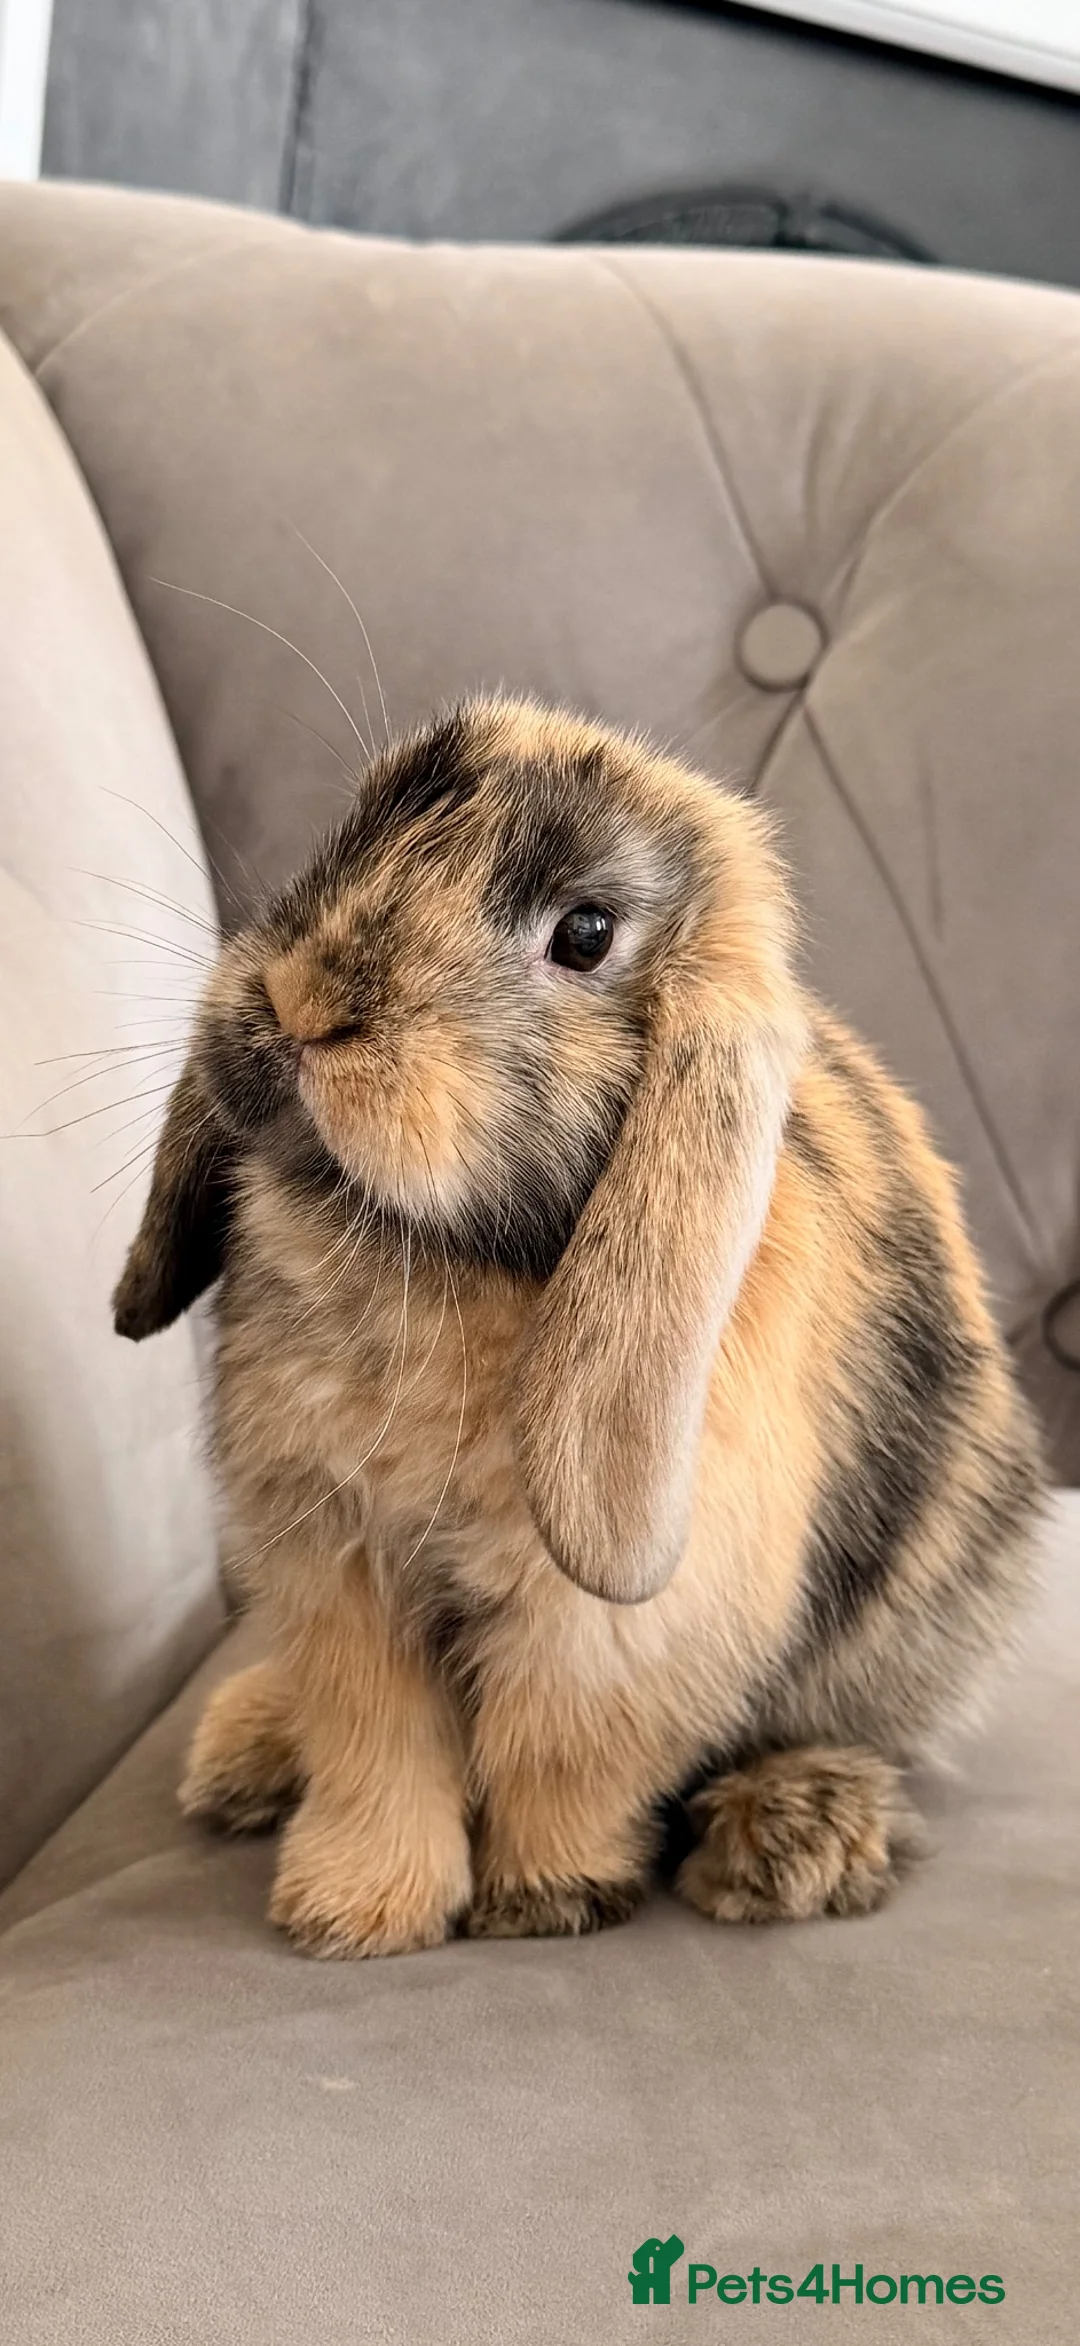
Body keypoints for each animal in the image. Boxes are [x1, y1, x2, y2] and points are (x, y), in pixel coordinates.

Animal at [113, 696, 1043, 1955]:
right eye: (360, 825)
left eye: (587, 934)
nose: (302, 1003)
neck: (431, 1257)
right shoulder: (334, 1565)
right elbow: (373, 1746)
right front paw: (355, 1912)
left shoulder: (614, 1624)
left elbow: (560, 1756)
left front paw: (544, 1898)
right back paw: (245, 1749)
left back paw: (789, 1839)